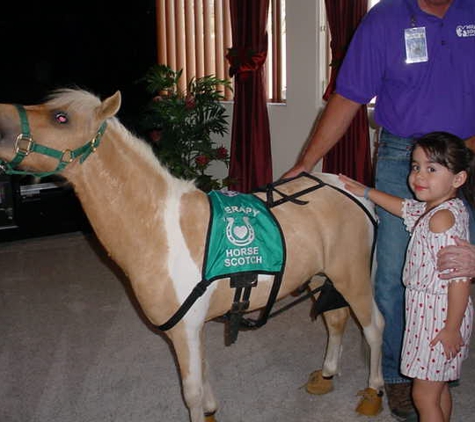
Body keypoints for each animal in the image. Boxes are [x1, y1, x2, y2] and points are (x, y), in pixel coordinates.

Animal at [0, 90, 384, 422]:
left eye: (60, 117)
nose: (0, 117)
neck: (161, 228)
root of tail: (353, 190)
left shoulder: (184, 328)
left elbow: (192, 391)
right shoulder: (193, 326)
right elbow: (204, 374)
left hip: (352, 278)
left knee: (373, 327)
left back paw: (373, 392)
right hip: (321, 278)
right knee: (336, 320)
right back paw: (327, 373)